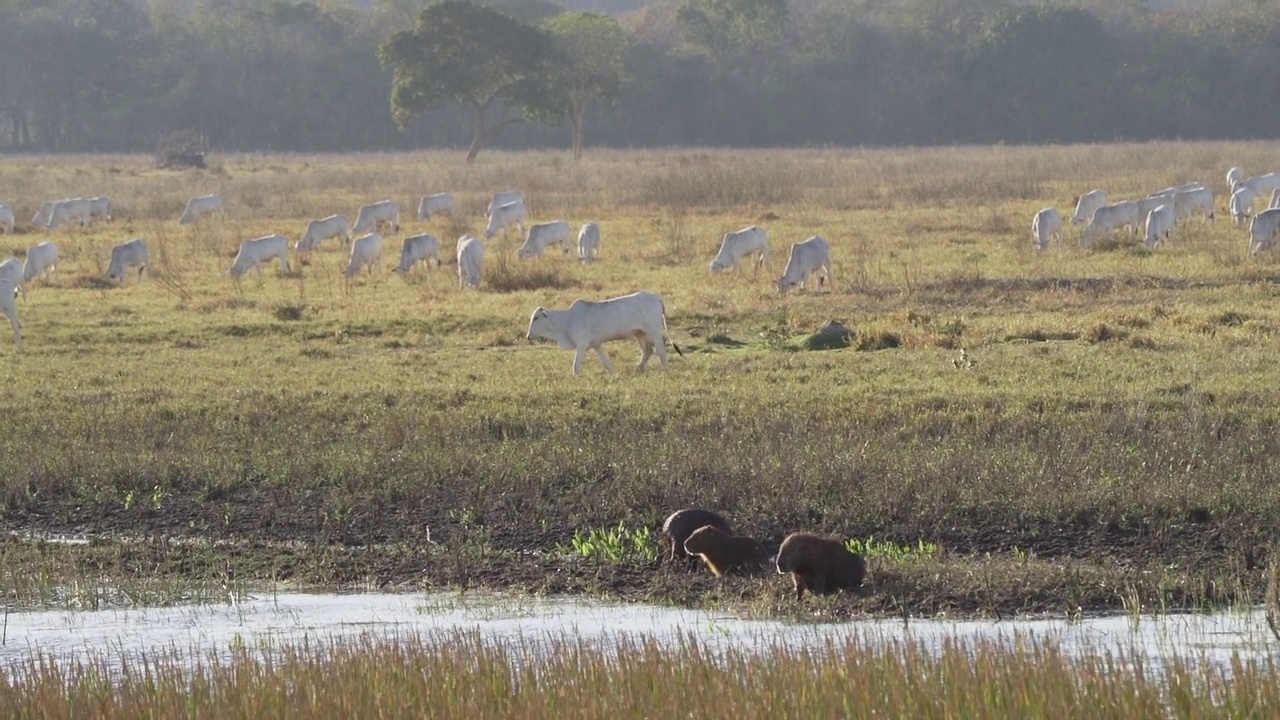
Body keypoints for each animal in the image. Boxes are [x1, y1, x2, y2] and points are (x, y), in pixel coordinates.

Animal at [524, 288, 680, 376]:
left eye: (536, 317)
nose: (528, 336)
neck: (566, 321)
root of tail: (657, 298)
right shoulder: (595, 344)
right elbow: (606, 363)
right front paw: (615, 374)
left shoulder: (581, 345)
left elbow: (576, 365)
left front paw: (574, 378)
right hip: (640, 333)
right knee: (647, 351)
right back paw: (638, 369)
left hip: (653, 331)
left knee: (661, 351)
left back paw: (665, 370)